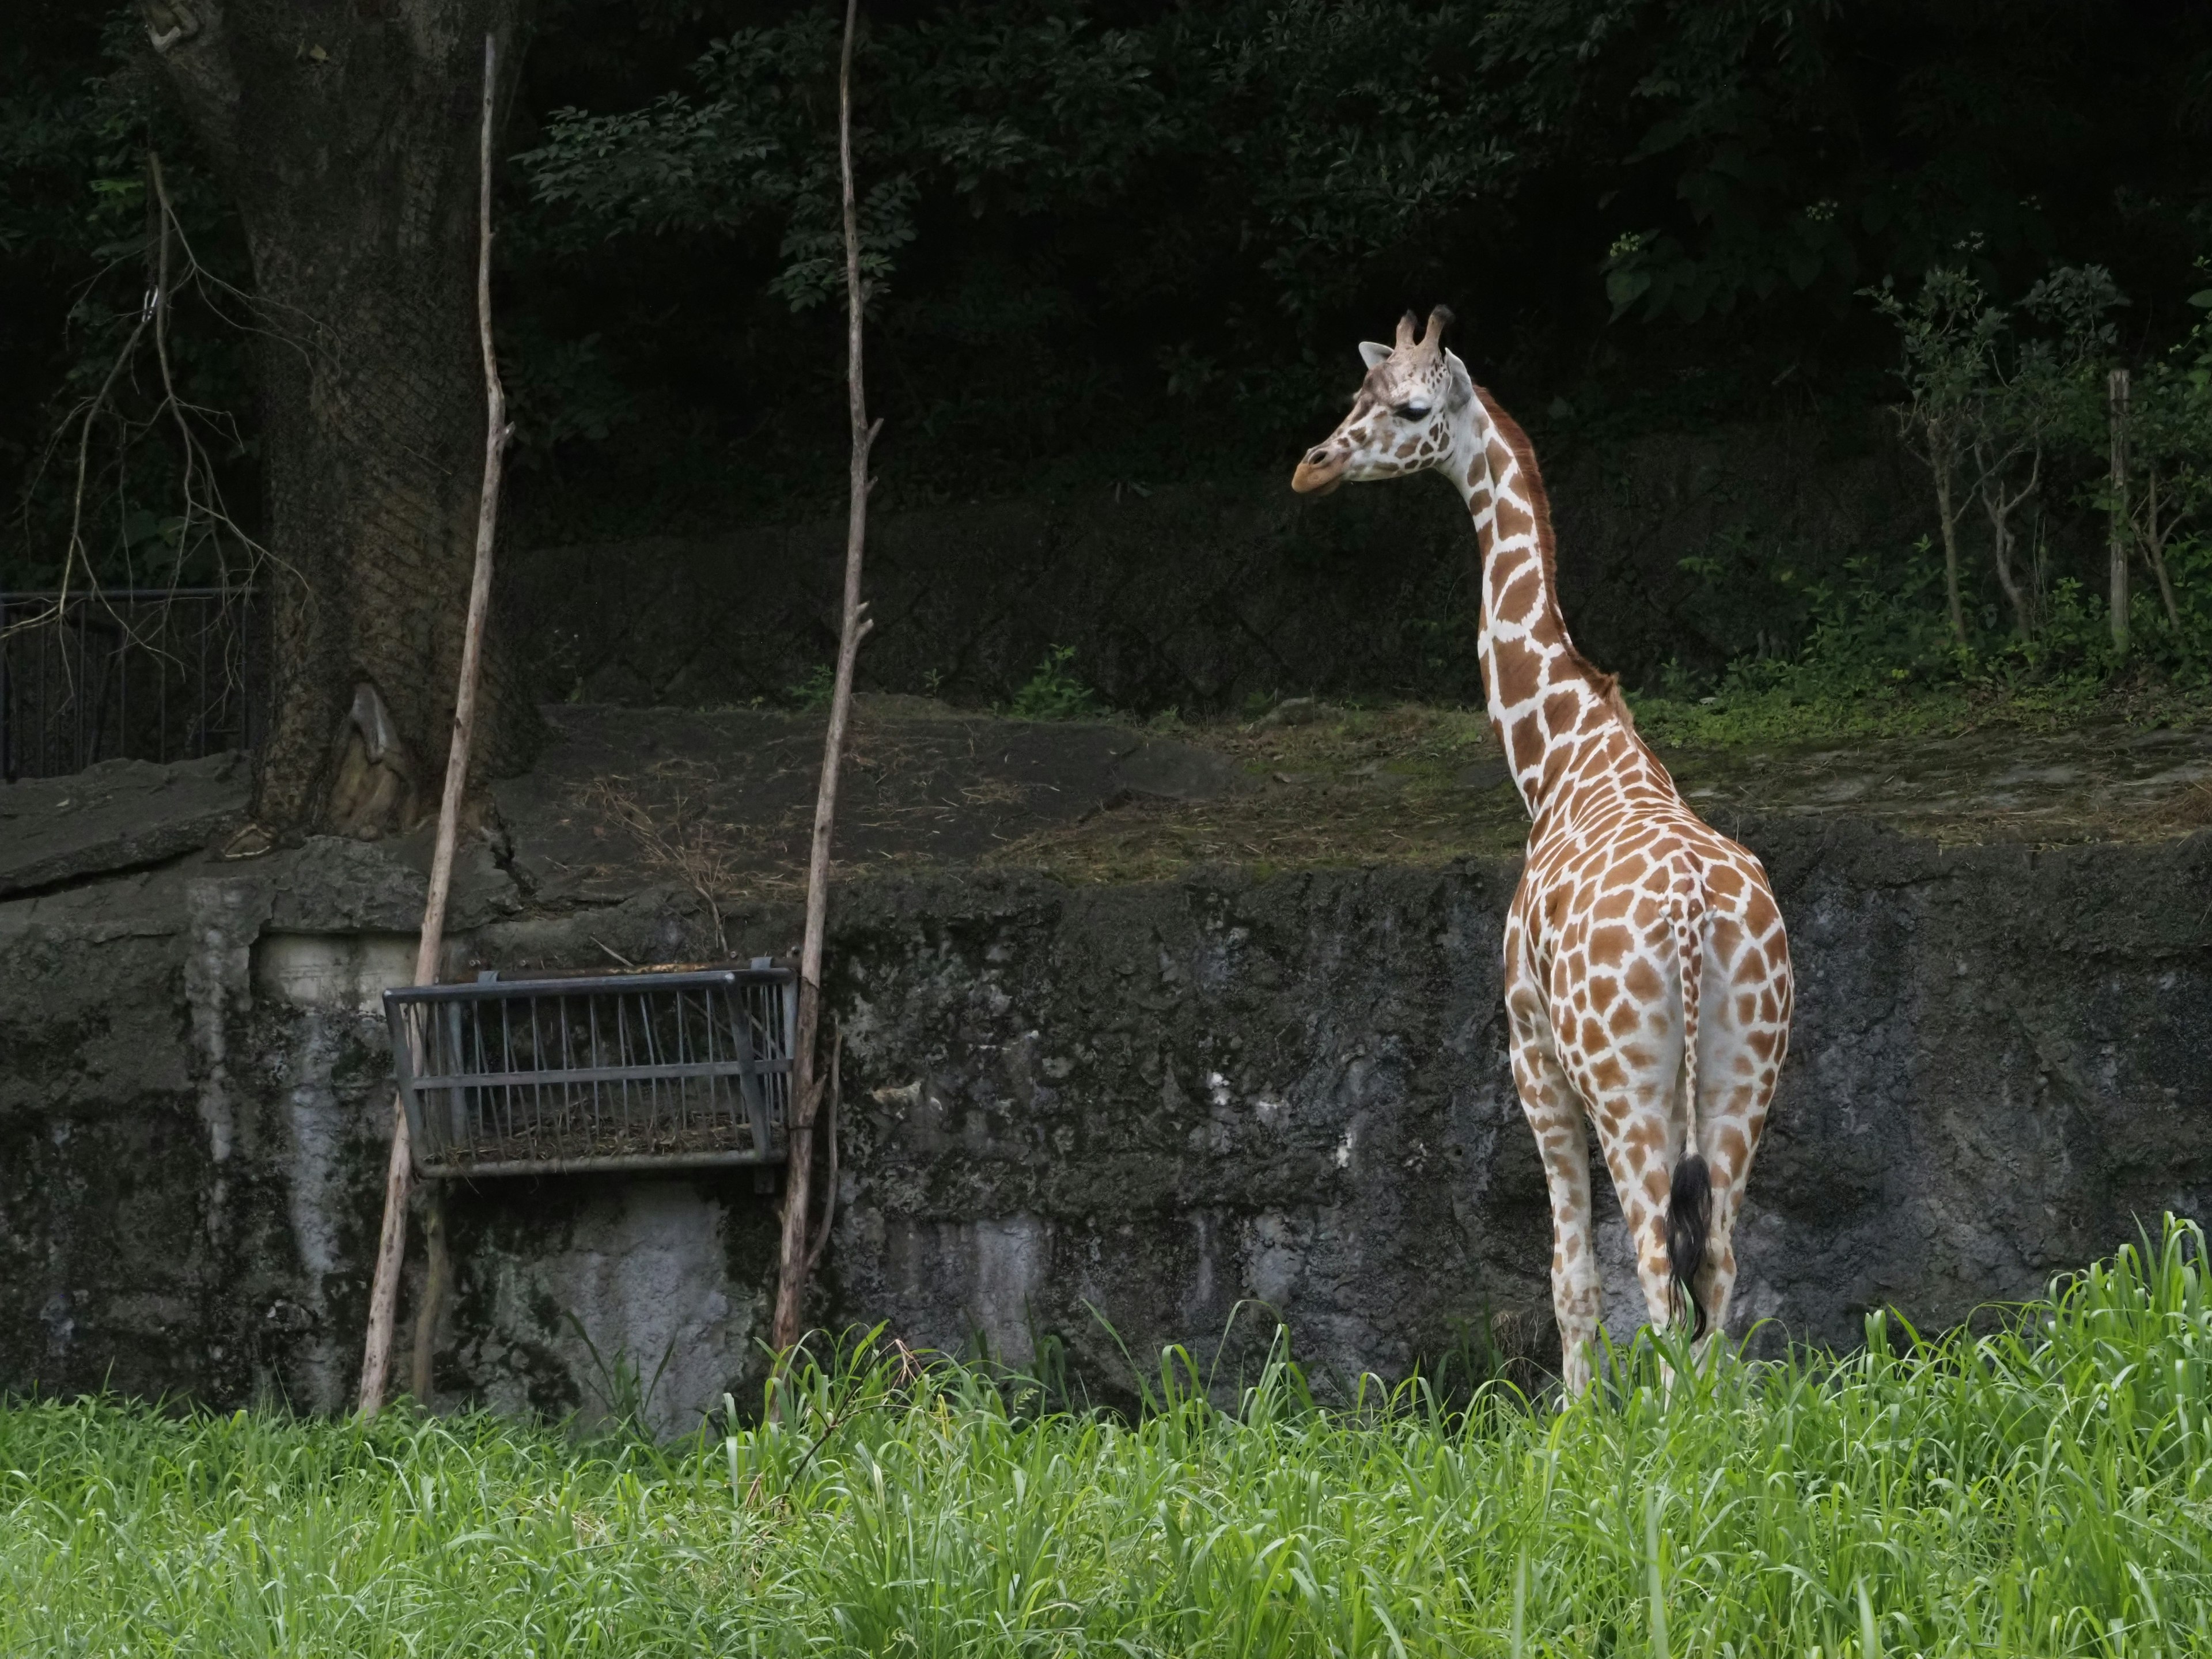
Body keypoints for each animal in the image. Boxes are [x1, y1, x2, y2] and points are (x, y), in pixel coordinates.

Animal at [1291, 305, 1787, 1397]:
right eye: (1355, 395)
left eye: (1411, 409)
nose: (1312, 467)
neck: (1565, 760)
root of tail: (1694, 921)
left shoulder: (1531, 1055)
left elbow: (1569, 1278)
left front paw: (1574, 1423)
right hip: (1745, 1075)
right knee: (1720, 1270)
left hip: (1624, 1081)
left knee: (1656, 1269)